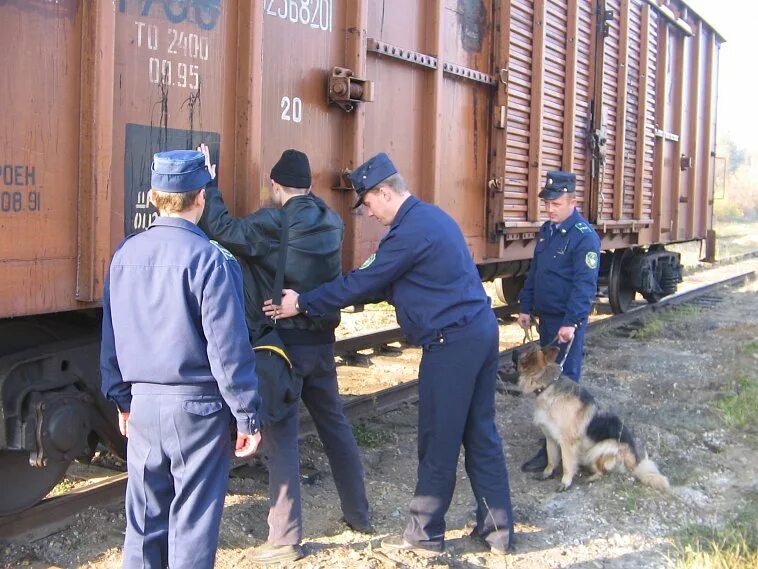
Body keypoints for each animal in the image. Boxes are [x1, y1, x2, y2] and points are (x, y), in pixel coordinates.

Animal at [516, 344, 672, 490]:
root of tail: (634, 463)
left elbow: (567, 464)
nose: (515, 350)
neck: (549, 385)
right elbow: (551, 459)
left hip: (603, 448)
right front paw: (547, 473)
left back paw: (591, 478)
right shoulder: (550, 438)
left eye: (524, 353)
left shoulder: (567, 442)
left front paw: (565, 482)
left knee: (603, 471)